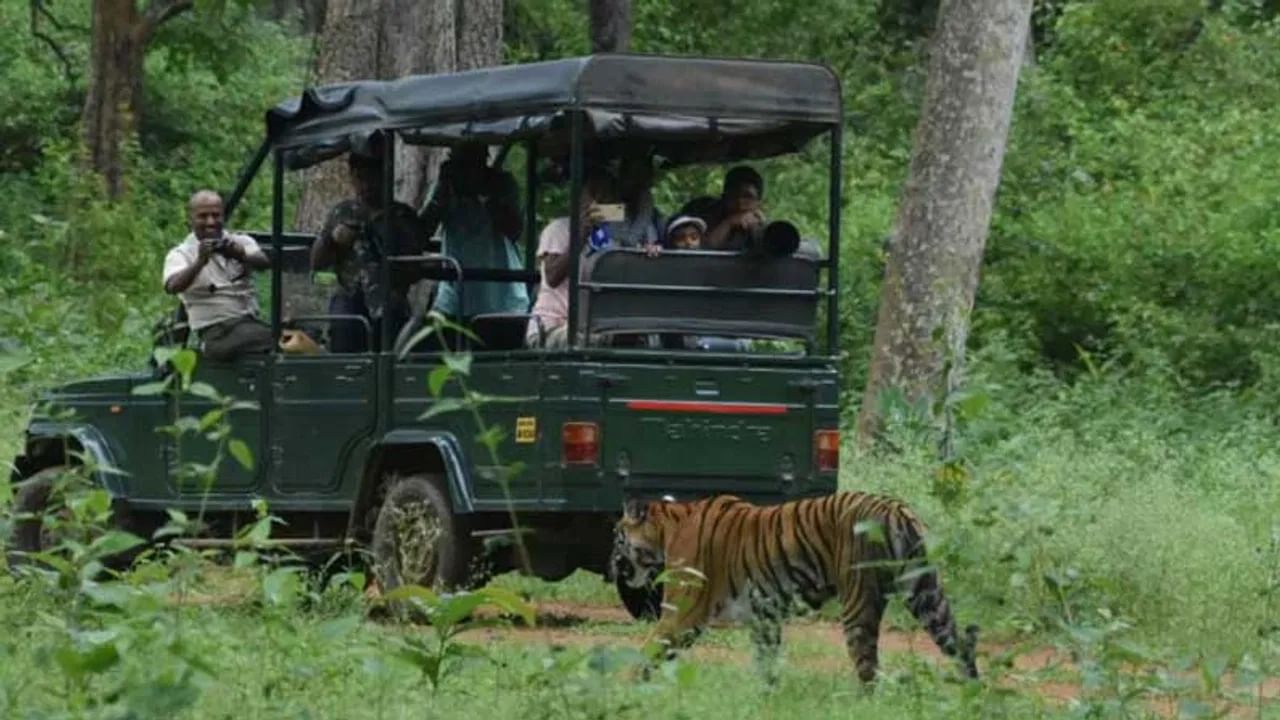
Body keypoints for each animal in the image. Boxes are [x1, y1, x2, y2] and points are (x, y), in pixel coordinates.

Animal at [611, 489, 977, 681]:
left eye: (617, 537)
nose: (611, 564)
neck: (667, 529)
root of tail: (896, 508)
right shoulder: (765, 617)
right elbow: (765, 663)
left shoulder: (683, 615)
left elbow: (647, 651)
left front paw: (623, 687)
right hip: (926, 593)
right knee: (959, 643)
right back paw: (972, 690)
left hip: (859, 600)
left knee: (868, 669)